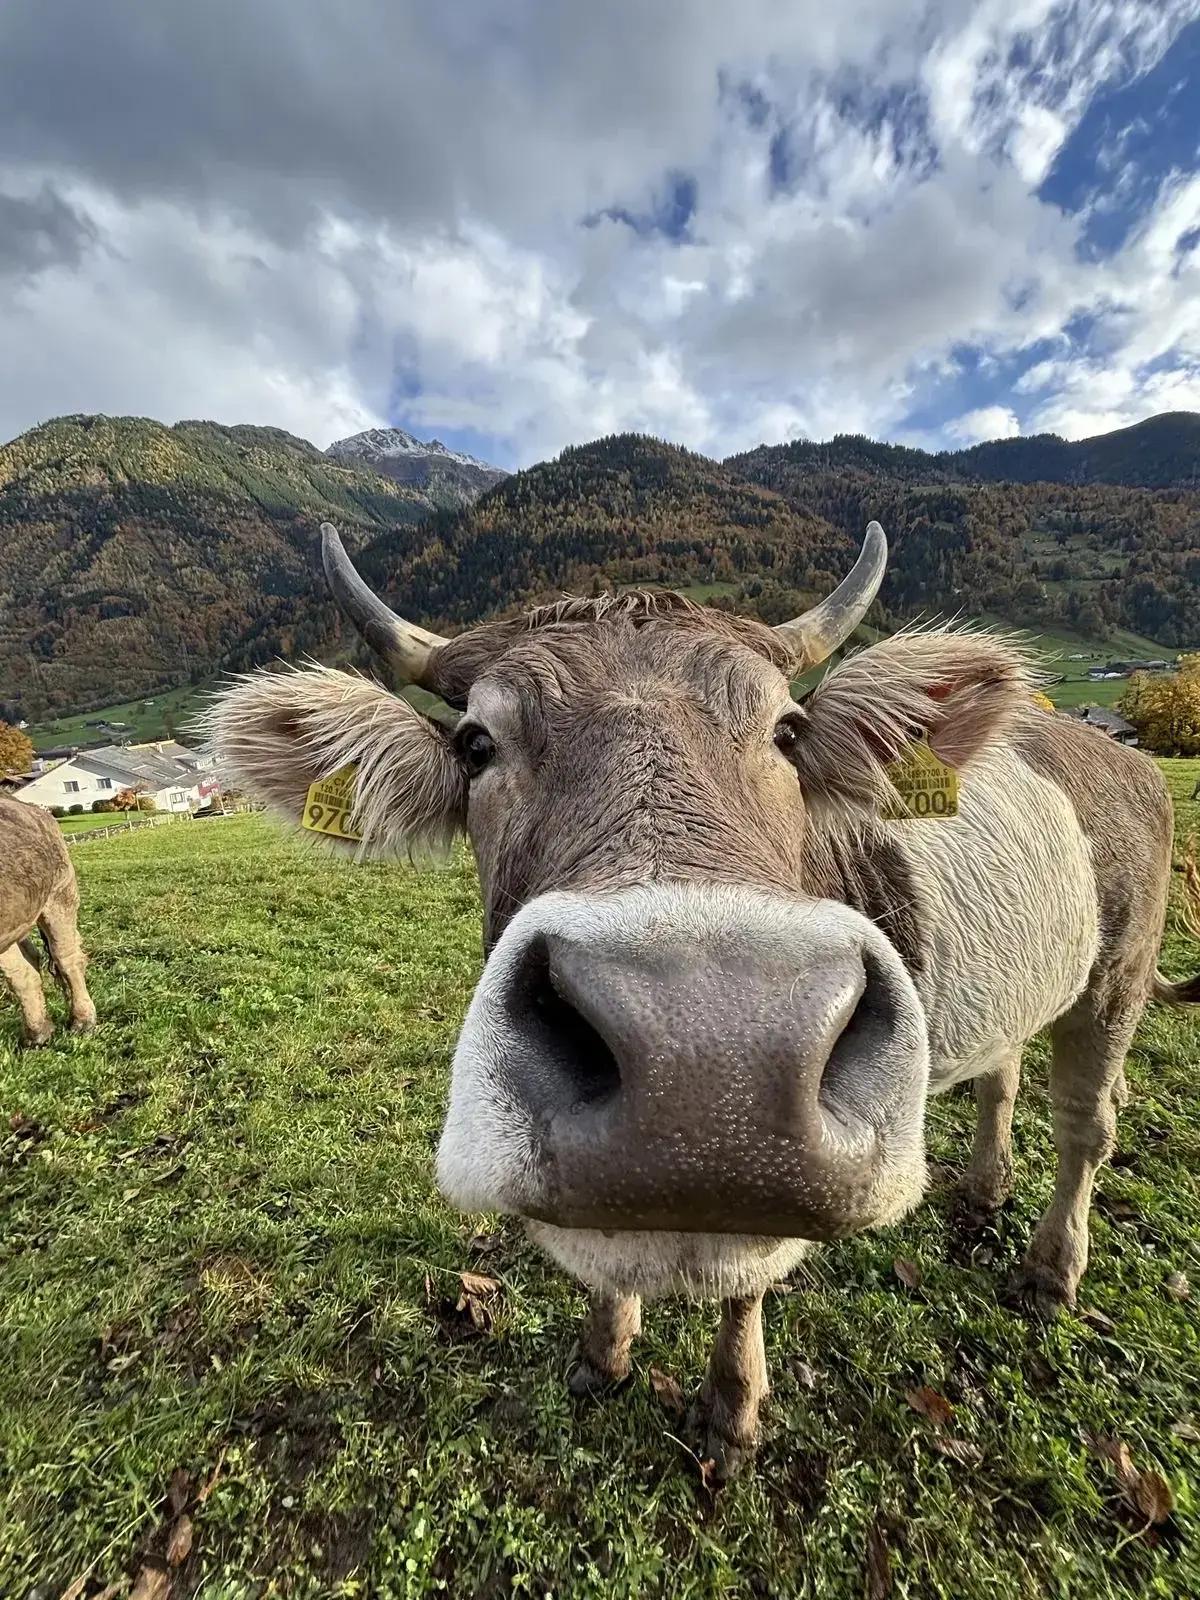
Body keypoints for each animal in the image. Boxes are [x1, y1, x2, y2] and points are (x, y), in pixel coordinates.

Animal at [207, 520, 1200, 1477]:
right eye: (476, 745)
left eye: (788, 734)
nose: (705, 1064)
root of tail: (1115, 756)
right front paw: (604, 1354)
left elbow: (749, 1271)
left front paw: (732, 1407)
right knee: (1004, 1076)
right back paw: (986, 1191)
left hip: (1117, 977)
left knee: (1085, 1128)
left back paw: (1051, 1270)